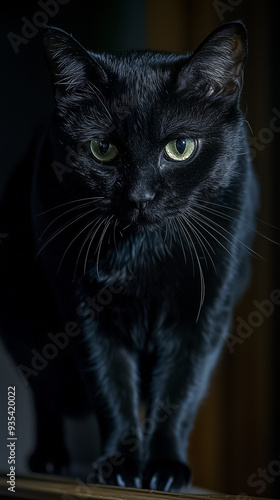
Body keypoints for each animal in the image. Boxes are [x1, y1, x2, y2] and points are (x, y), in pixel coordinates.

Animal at [0, 21, 258, 490]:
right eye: (103, 149)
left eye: (180, 147)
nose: (140, 197)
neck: (143, 252)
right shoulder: (83, 310)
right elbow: (110, 386)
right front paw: (119, 467)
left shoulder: (205, 312)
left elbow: (179, 391)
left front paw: (166, 469)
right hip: (31, 334)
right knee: (45, 392)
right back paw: (49, 457)